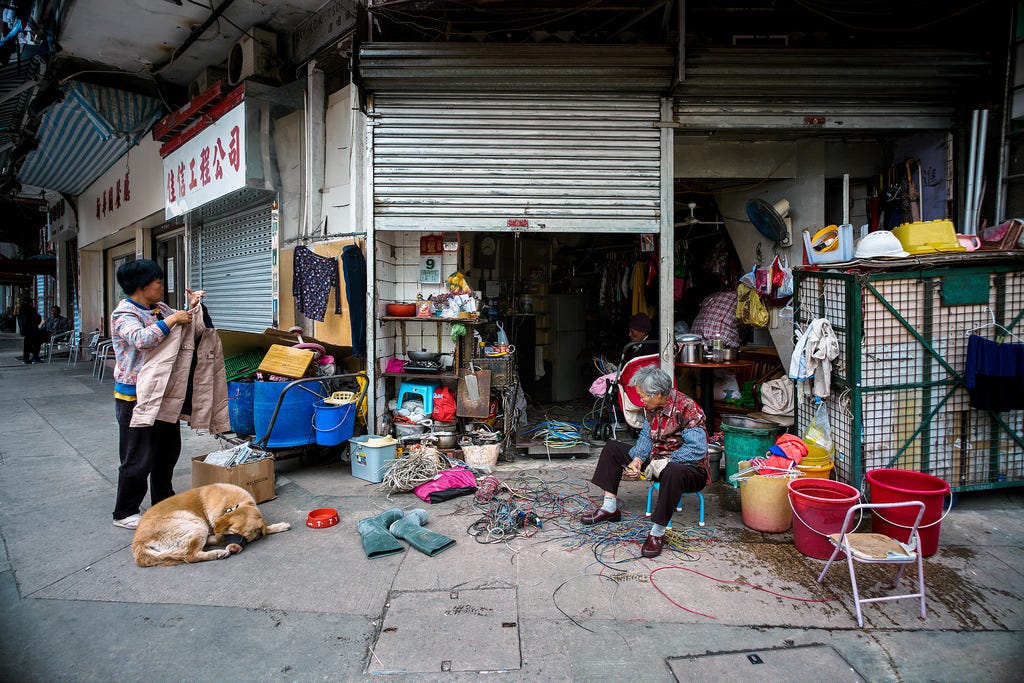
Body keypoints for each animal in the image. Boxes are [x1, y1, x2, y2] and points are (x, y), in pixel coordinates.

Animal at [131, 483, 290, 567]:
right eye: (232, 533)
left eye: (246, 539)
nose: (233, 550)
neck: (235, 504)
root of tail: (138, 544)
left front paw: (280, 526)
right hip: (195, 522)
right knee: (190, 556)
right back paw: (218, 552)